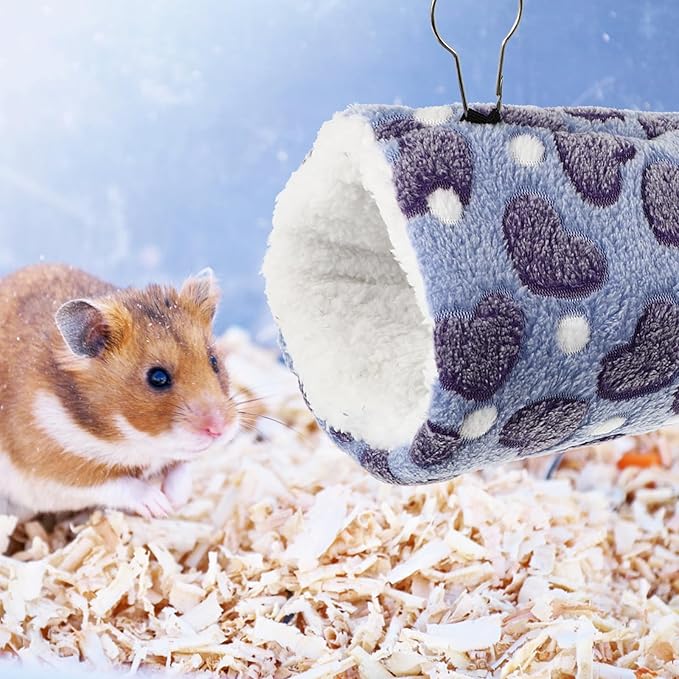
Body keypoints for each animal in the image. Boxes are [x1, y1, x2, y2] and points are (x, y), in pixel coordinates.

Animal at [0, 264, 239, 519]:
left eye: (214, 361)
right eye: (157, 377)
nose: (219, 429)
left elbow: (182, 469)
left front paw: (175, 502)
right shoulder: (53, 470)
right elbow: (118, 484)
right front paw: (160, 506)